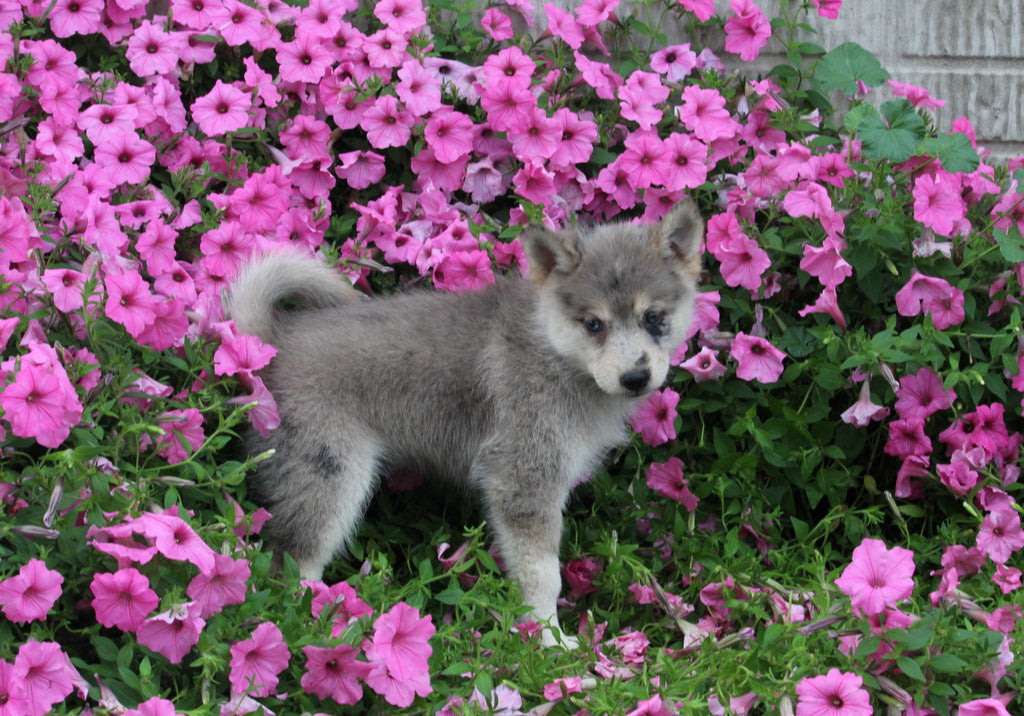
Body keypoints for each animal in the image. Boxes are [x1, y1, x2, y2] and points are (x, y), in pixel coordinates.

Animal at [227, 198, 704, 647]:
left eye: (653, 317)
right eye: (593, 324)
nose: (635, 378)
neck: (554, 352)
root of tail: (272, 343)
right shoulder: (522, 482)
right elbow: (542, 577)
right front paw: (550, 641)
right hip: (331, 478)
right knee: (289, 569)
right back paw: (322, 631)